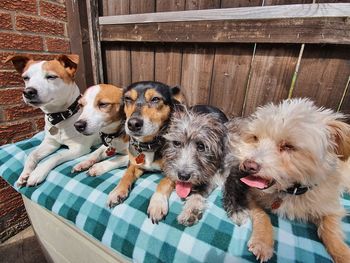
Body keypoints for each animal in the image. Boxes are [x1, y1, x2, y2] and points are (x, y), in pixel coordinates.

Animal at [223, 99, 350, 263]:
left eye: (288, 146)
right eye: (255, 138)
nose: (248, 165)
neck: (290, 191)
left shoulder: (330, 207)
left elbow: (331, 231)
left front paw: (343, 253)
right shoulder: (251, 195)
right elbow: (262, 216)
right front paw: (262, 242)